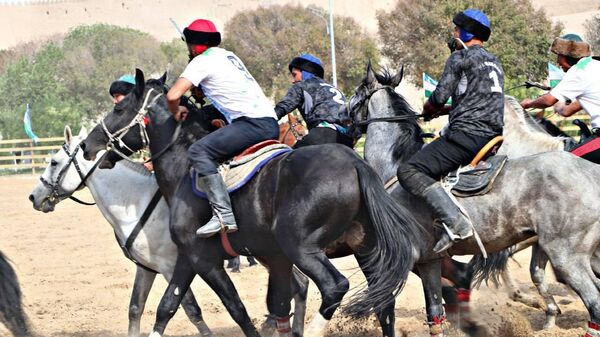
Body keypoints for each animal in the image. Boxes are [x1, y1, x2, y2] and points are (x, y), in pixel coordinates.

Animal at [29, 125, 216, 336]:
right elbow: (135, 308)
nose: (33, 196)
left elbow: (191, 309)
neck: (137, 204)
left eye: (54, 162)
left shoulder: (172, 267)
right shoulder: (146, 268)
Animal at [82, 69, 424, 336]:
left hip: (301, 247)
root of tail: (355, 164)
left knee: (335, 287)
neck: (184, 169)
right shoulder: (188, 258)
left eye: (120, 108)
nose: (88, 144)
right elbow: (168, 306)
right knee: (383, 302)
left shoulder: (205, 259)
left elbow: (237, 309)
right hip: (365, 248)